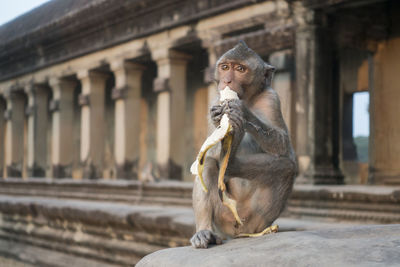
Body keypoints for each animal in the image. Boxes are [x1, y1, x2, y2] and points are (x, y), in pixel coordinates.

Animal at [191, 41, 296, 249]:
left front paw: (242, 112)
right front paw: (220, 121)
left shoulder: (272, 97)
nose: (227, 81)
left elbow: (283, 145)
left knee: (286, 166)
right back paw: (204, 232)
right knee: (207, 163)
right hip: (222, 216)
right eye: (225, 67)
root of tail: (235, 232)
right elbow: (209, 151)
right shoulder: (214, 100)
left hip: (251, 218)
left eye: (240, 69)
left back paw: (231, 162)